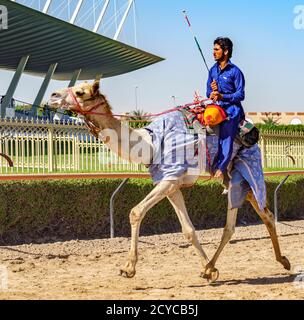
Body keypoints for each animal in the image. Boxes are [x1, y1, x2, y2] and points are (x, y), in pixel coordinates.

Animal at [48, 80, 290, 282]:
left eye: (80, 91)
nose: (52, 95)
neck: (150, 144)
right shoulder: (171, 185)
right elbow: (188, 229)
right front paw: (209, 270)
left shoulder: (170, 178)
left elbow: (135, 212)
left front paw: (128, 268)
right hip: (234, 179)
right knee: (264, 215)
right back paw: (279, 261)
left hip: (243, 172)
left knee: (233, 225)